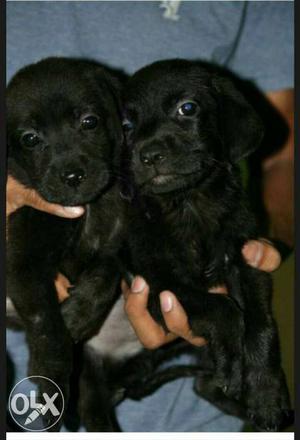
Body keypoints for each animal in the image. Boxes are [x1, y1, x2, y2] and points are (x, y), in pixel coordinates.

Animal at [6, 57, 127, 430]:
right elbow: (48, 330)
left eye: (89, 121)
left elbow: (106, 275)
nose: (73, 176)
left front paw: (77, 314)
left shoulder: (115, 244)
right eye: (30, 139)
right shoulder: (24, 263)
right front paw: (49, 382)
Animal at [119, 59, 290, 434]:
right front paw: (232, 365)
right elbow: (221, 308)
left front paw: (267, 396)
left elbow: (262, 327)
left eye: (188, 108)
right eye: (127, 125)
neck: (189, 204)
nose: (148, 155)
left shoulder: (248, 262)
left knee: (202, 385)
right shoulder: (157, 284)